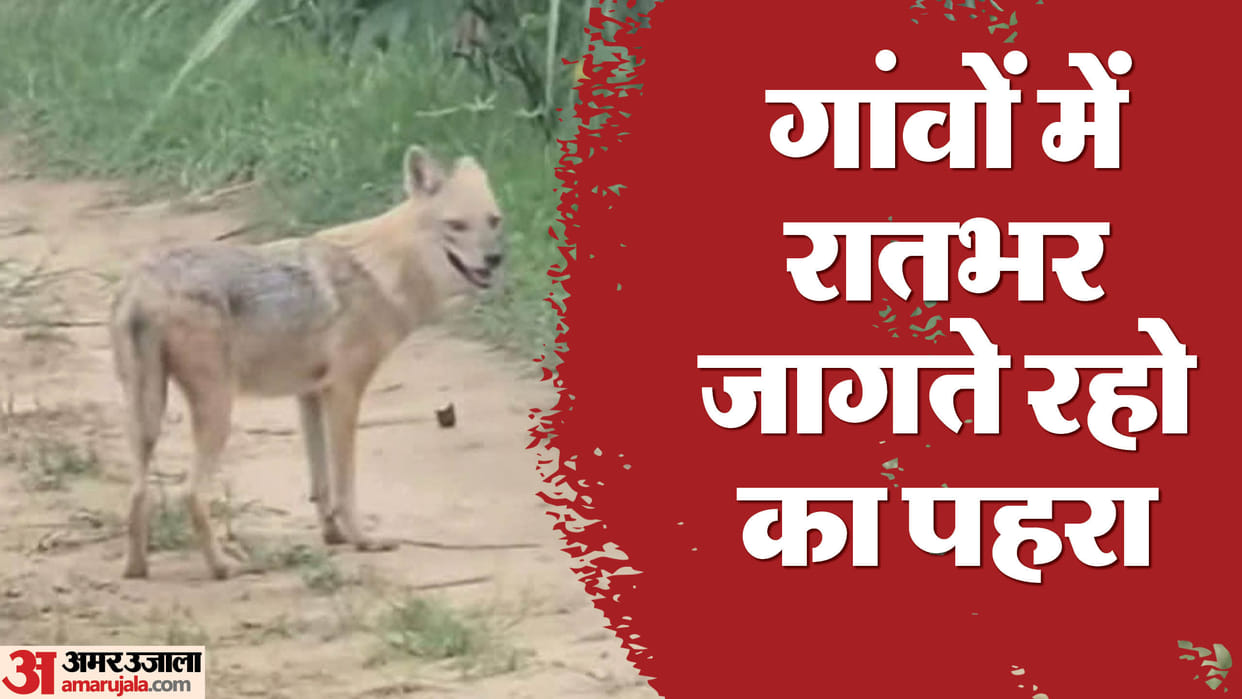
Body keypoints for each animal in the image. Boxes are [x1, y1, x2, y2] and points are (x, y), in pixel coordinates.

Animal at [109, 145, 506, 579]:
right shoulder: (345, 393)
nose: (495, 258)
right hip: (216, 413)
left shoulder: (309, 395)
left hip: (146, 420)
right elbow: (345, 484)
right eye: (455, 225)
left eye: (493, 220)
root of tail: (142, 284)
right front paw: (363, 540)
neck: (383, 273)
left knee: (138, 492)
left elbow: (321, 484)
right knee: (191, 493)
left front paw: (333, 536)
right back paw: (222, 567)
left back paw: (136, 569)